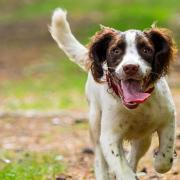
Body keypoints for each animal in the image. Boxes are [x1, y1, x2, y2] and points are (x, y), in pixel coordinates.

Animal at [50, 8, 176, 180]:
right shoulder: (109, 136)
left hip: (143, 138)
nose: (131, 67)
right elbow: (122, 169)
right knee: (99, 159)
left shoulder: (168, 118)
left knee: (134, 156)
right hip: (95, 123)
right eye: (115, 51)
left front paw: (158, 161)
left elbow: (164, 159)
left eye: (146, 50)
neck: (137, 107)